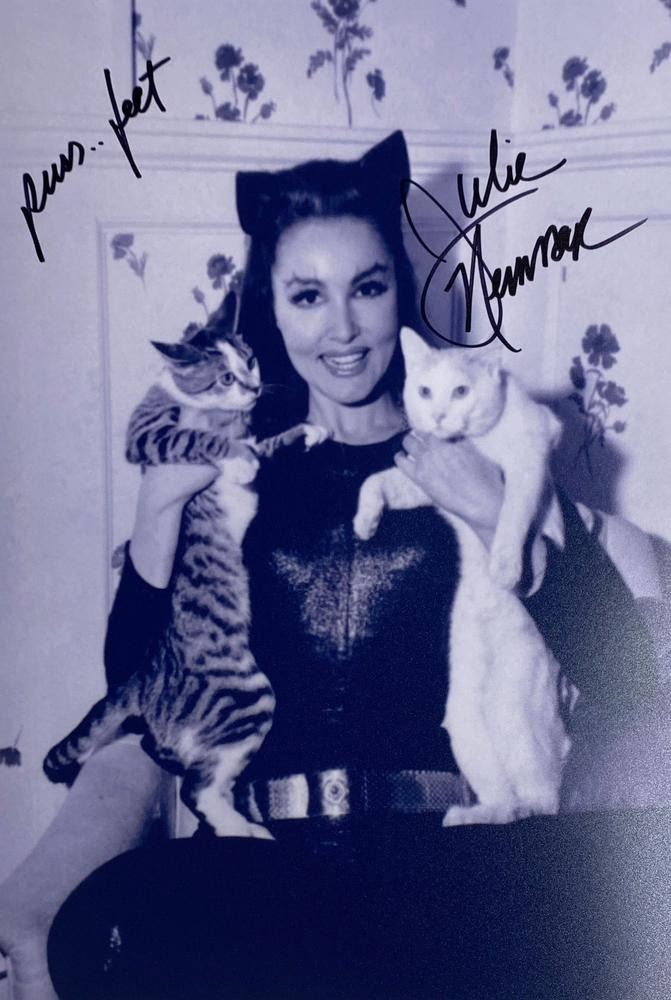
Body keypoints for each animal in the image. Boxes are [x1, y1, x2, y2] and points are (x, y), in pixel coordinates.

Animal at [44, 292, 326, 838]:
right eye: (225, 378)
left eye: (252, 361)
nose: (254, 388)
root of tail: (142, 677)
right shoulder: (147, 433)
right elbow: (194, 440)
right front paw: (232, 455)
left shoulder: (255, 437)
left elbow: (268, 443)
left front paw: (308, 430)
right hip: (246, 695)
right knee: (199, 788)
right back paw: (243, 830)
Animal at [353, 327, 570, 826]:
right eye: (424, 390)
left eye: (460, 391)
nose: (437, 415)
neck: (471, 443)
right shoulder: (421, 482)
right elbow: (377, 481)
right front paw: (365, 518)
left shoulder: (531, 453)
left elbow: (512, 511)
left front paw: (507, 565)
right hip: (465, 714)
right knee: (499, 792)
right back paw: (478, 813)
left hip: (514, 701)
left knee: (545, 794)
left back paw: (529, 805)